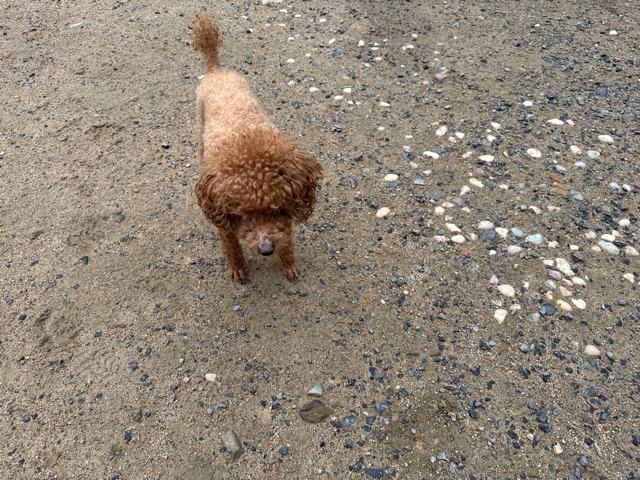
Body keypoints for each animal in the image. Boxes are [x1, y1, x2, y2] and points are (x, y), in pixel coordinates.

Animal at [189, 13, 322, 282]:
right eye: (241, 214)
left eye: (277, 209)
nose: (266, 250)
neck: (246, 141)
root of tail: (217, 70)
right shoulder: (222, 219)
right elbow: (230, 244)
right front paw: (237, 267)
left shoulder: (285, 221)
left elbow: (286, 240)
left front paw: (289, 264)